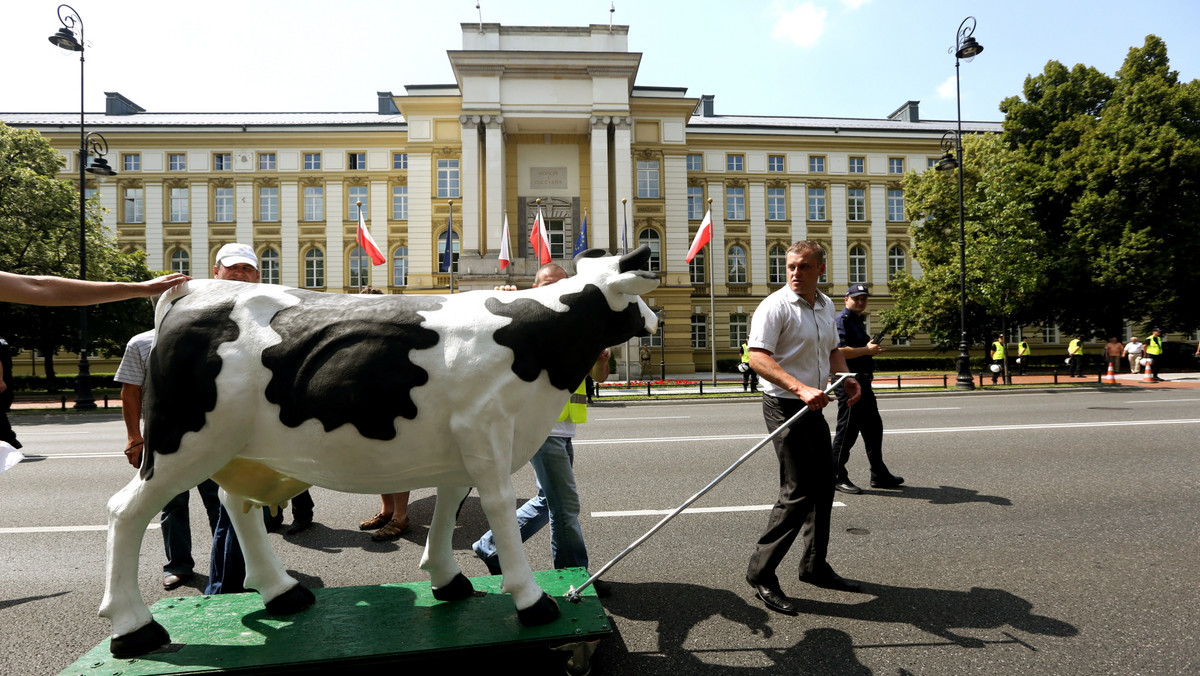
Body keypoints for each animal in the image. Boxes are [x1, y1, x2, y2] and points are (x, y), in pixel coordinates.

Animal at [98, 246, 662, 657]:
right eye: (637, 294)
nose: (656, 321)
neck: (536, 341)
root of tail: (193, 288)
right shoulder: (486, 428)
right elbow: (499, 507)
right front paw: (531, 600)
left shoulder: (462, 442)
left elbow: (452, 502)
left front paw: (447, 579)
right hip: (180, 443)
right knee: (125, 511)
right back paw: (134, 629)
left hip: (243, 450)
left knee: (238, 507)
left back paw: (283, 593)